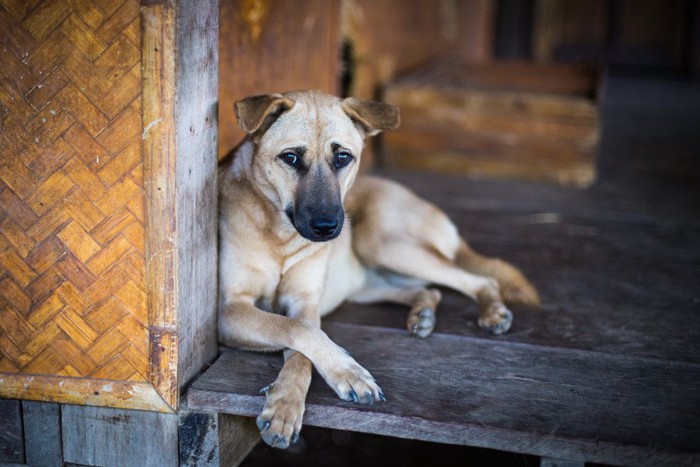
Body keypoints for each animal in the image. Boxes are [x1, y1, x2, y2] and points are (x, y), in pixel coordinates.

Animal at [216, 88, 540, 450]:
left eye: (343, 157)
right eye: (291, 158)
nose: (328, 228)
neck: (280, 237)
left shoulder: (305, 304)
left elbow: (302, 346)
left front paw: (298, 397)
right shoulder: (229, 312)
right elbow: (297, 332)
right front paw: (330, 380)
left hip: (381, 244)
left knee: (480, 280)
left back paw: (492, 311)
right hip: (366, 281)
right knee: (427, 289)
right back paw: (423, 313)